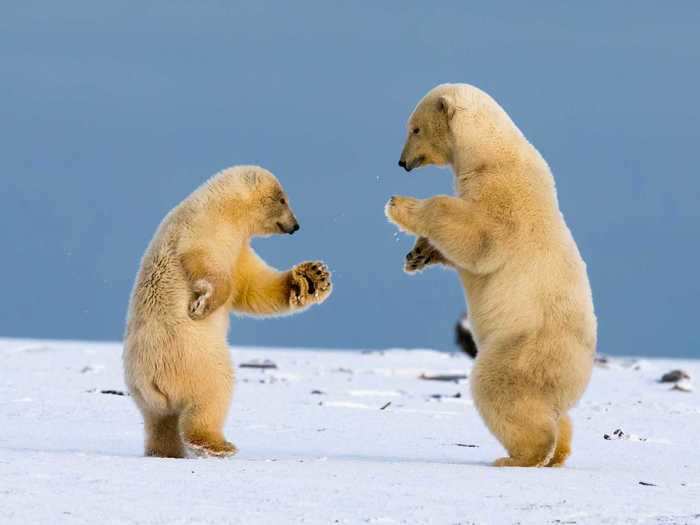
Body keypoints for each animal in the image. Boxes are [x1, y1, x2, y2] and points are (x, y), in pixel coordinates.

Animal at [124, 166, 332, 456]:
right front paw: (201, 306)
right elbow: (207, 266)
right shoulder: (202, 229)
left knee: (159, 423)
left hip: (146, 398)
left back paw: (165, 452)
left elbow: (251, 286)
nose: (296, 225)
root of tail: (148, 380)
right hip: (193, 359)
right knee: (213, 394)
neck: (223, 208)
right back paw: (217, 444)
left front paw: (311, 278)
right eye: (282, 199)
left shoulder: (238, 249)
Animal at [382, 85, 596, 466]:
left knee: (498, 387)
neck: (492, 153)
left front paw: (400, 205)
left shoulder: (504, 196)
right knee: (556, 414)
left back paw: (520, 456)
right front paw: (416, 255)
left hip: (525, 348)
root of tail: (581, 374)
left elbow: (478, 237)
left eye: (414, 129)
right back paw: (558, 452)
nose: (402, 162)